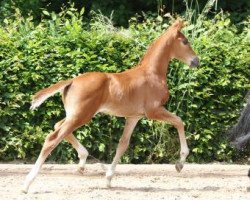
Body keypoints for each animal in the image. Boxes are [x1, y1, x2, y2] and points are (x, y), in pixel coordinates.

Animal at [22, 19, 198, 193]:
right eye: (185, 41)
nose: (196, 61)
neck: (152, 74)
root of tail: (71, 81)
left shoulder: (134, 117)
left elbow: (123, 144)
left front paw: (108, 179)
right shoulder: (154, 111)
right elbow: (179, 121)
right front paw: (180, 163)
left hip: (75, 114)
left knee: (58, 125)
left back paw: (82, 162)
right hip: (82, 115)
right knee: (52, 138)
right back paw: (27, 184)